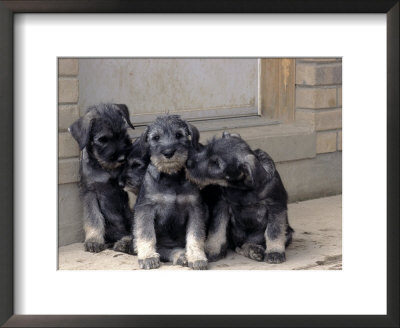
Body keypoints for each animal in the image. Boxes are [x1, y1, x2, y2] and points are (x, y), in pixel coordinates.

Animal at [69, 102, 136, 254]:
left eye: (123, 133)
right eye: (102, 139)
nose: (122, 158)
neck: (107, 169)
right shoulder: (90, 192)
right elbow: (93, 217)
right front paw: (93, 241)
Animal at [134, 114, 209, 270]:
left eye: (179, 135)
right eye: (155, 137)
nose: (168, 153)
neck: (171, 176)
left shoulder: (195, 208)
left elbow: (195, 235)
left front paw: (197, 257)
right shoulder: (146, 208)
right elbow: (146, 233)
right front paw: (148, 257)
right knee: (163, 249)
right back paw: (179, 255)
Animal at [185, 131, 294, 264]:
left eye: (216, 164)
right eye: (207, 147)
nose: (187, 163)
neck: (241, 188)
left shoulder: (276, 207)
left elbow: (274, 231)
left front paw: (275, 253)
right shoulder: (222, 205)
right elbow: (217, 229)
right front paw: (212, 250)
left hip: (285, 233)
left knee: (247, 244)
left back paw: (255, 250)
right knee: (238, 247)